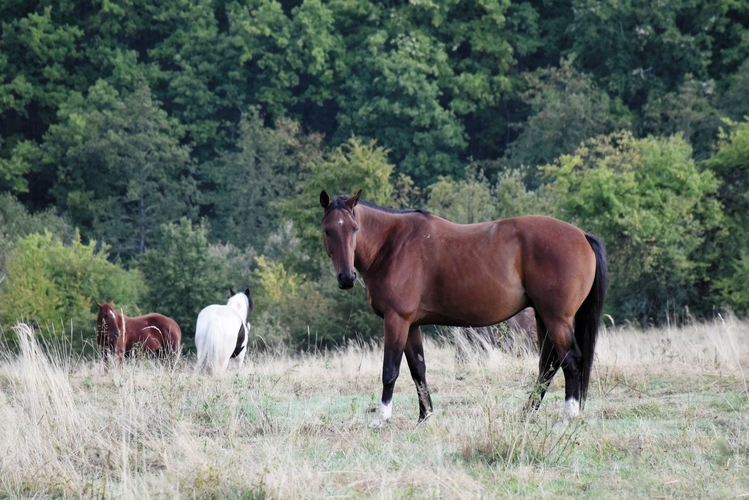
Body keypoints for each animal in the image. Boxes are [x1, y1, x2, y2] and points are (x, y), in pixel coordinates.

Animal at [318, 189, 608, 428]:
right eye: (328, 230)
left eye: (355, 228)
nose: (347, 277)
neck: (393, 245)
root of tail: (582, 235)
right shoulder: (411, 324)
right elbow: (418, 369)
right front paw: (425, 417)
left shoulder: (396, 320)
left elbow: (390, 370)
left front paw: (381, 418)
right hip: (543, 316)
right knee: (548, 364)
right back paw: (527, 413)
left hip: (556, 318)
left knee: (571, 360)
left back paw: (567, 416)